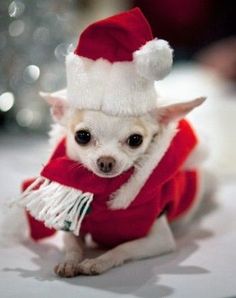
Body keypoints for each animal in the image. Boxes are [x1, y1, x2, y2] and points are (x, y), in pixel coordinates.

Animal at [40, 90, 210, 278]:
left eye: (135, 140)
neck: (104, 191)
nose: (106, 161)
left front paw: (98, 261)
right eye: (82, 136)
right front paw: (69, 262)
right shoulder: (71, 224)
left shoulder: (161, 239)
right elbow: (73, 246)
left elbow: (123, 247)